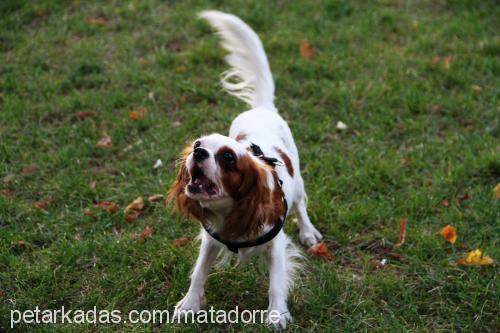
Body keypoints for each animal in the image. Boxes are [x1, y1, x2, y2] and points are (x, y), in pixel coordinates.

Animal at [168, 10, 322, 326]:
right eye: (198, 143)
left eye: (227, 157)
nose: (198, 151)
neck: (230, 211)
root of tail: (263, 108)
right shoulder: (209, 239)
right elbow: (199, 273)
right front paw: (190, 304)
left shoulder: (276, 245)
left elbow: (276, 283)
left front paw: (276, 314)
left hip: (298, 183)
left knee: (301, 205)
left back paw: (309, 232)